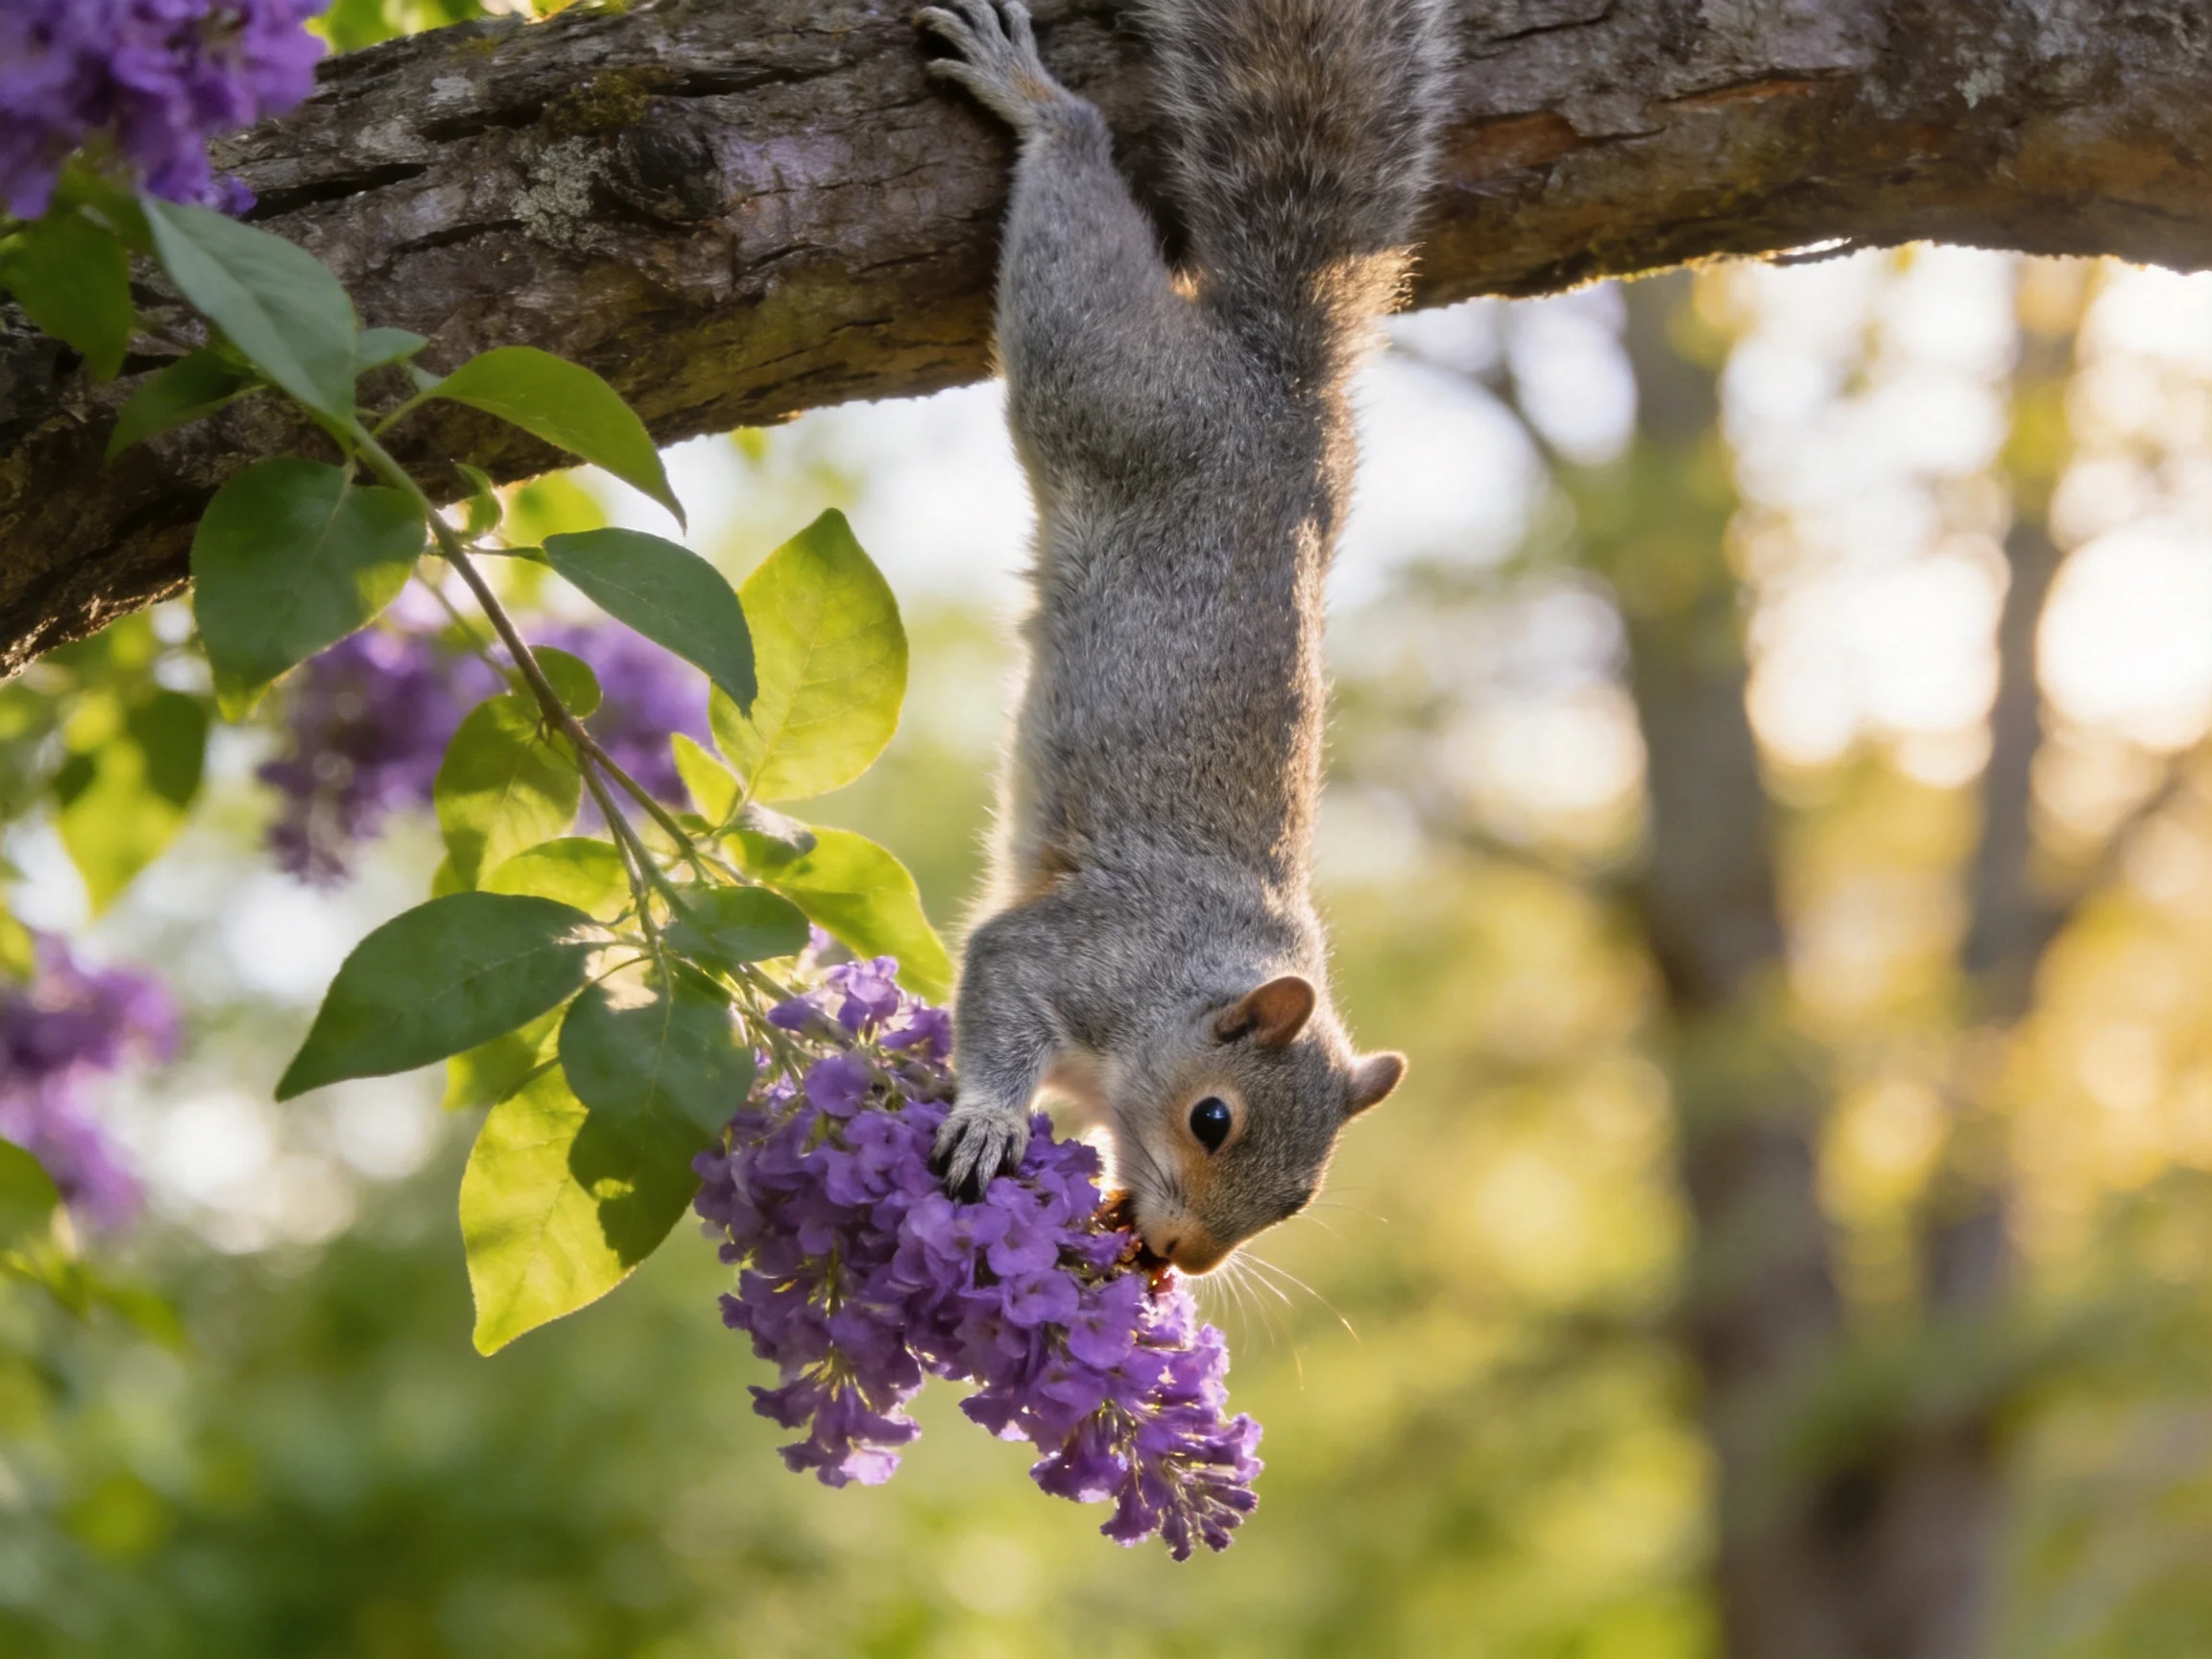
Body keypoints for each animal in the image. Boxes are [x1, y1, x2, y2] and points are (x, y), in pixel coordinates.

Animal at [915, 0, 1447, 1272]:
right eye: (1212, 1119)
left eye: (1300, 1197)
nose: (1184, 1259)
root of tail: (1282, 386)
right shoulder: (1077, 948)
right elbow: (998, 986)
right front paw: (990, 1117)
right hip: (1105, 376)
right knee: (1071, 219)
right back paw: (1038, 102)